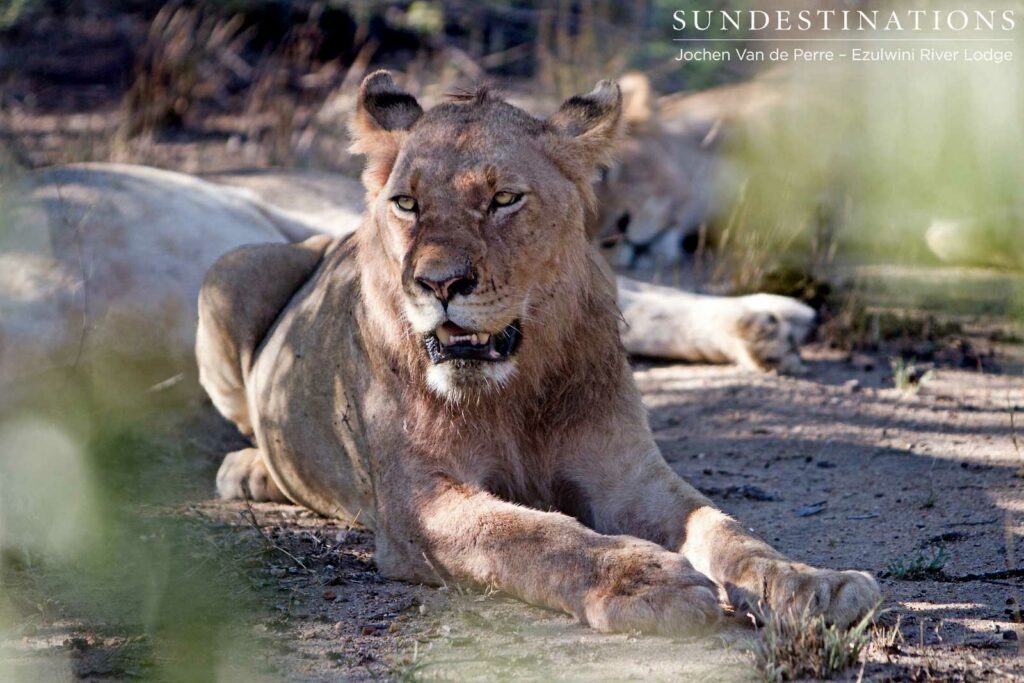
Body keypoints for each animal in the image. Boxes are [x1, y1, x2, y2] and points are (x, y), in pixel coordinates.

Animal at [194, 71, 880, 635]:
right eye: (407, 204)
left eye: (503, 200)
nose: (438, 283)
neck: (514, 390)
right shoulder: (419, 504)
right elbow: (528, 534)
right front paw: (647, 580)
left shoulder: (630, 476)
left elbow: (726, 528)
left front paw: (814, 584)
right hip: (230, 272)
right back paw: (251, 470)